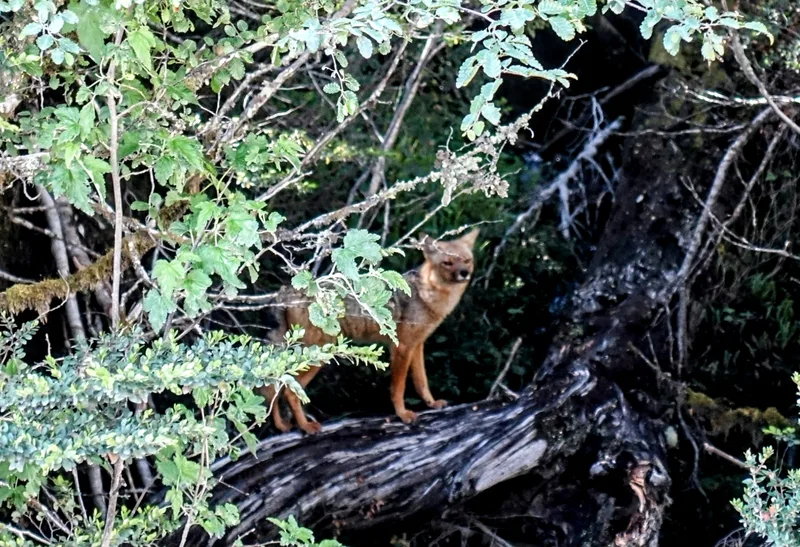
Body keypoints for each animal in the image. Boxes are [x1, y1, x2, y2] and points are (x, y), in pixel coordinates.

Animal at [258, 228, 479, 435]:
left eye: (466, 261)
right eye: (447, 263)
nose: (464, 273)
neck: (427, 296)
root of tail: (286, 291)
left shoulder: (417, 346)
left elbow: (421, 382)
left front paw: (431, 404)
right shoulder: (402, 348)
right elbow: (398, 387)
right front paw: (402, 414)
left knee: (273, 386)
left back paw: (282, 426)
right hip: (317, 356)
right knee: (288, 390)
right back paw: (305, 426)